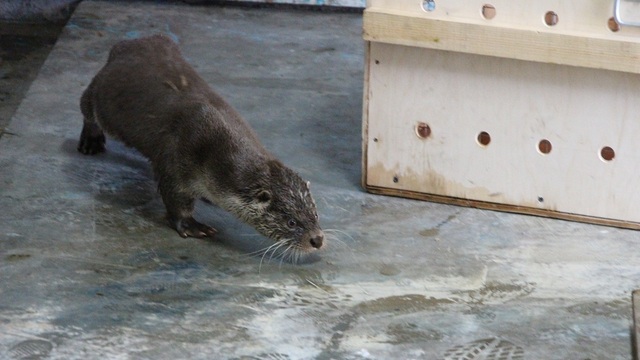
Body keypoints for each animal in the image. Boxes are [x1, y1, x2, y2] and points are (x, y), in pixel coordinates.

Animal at [76, 33, 324, 253]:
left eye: (315, 214)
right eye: (291, 222)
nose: (317, 240)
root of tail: (126, 44)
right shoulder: (177, 157)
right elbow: (176, 199)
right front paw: (192, 226)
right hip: (99, 96)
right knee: (86, 107)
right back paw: (90, 141)